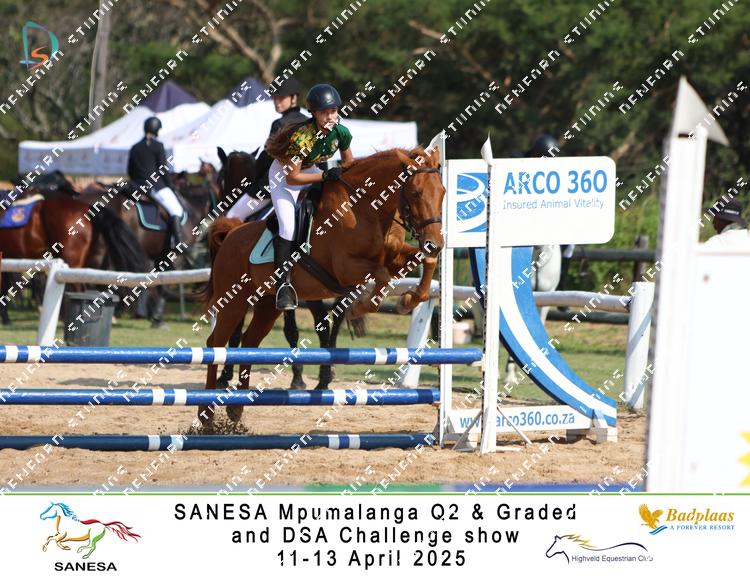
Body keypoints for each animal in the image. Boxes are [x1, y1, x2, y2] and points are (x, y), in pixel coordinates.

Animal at [199, 147, 444, 427]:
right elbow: (381, 275)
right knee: (216, 344)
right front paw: (360, 306)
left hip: (266, 305)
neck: (366, 207)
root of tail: (231, 234)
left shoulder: (394, 256)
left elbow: (424, 262)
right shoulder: (345, 267)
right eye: (415, 193)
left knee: (250, 342)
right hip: (234, 300)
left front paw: (408, 300)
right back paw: (206, 414)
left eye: (443, 192)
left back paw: (236, 409)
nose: (435, 243)